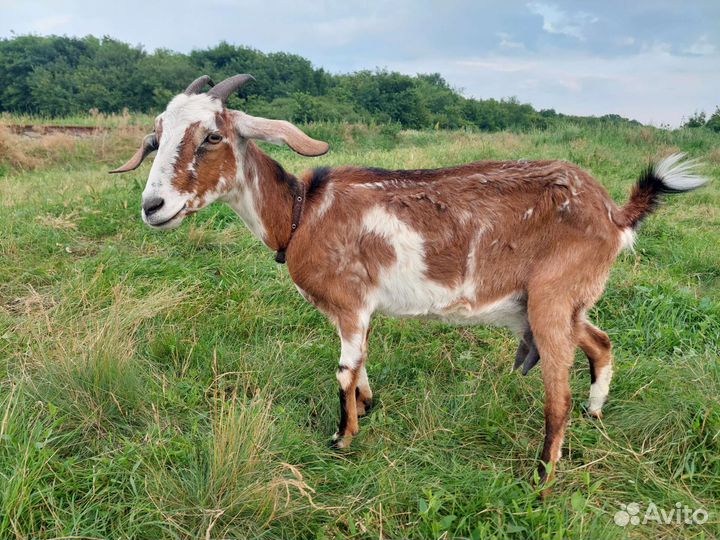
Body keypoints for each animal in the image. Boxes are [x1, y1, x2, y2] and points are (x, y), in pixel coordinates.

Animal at [111, 74, 707, 488]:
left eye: (212, 136)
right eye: (156, 138)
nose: (153, 206)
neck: (302, 213)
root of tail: (613, 212)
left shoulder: (350, 301)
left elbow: (344, 370)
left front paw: (342, 437)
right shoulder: (359, 311)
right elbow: (361, 363)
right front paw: (368, 406)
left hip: (551, 297)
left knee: (557, 387)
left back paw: (542, 476)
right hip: (559, 303)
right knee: (601, 343)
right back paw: (595, 410)